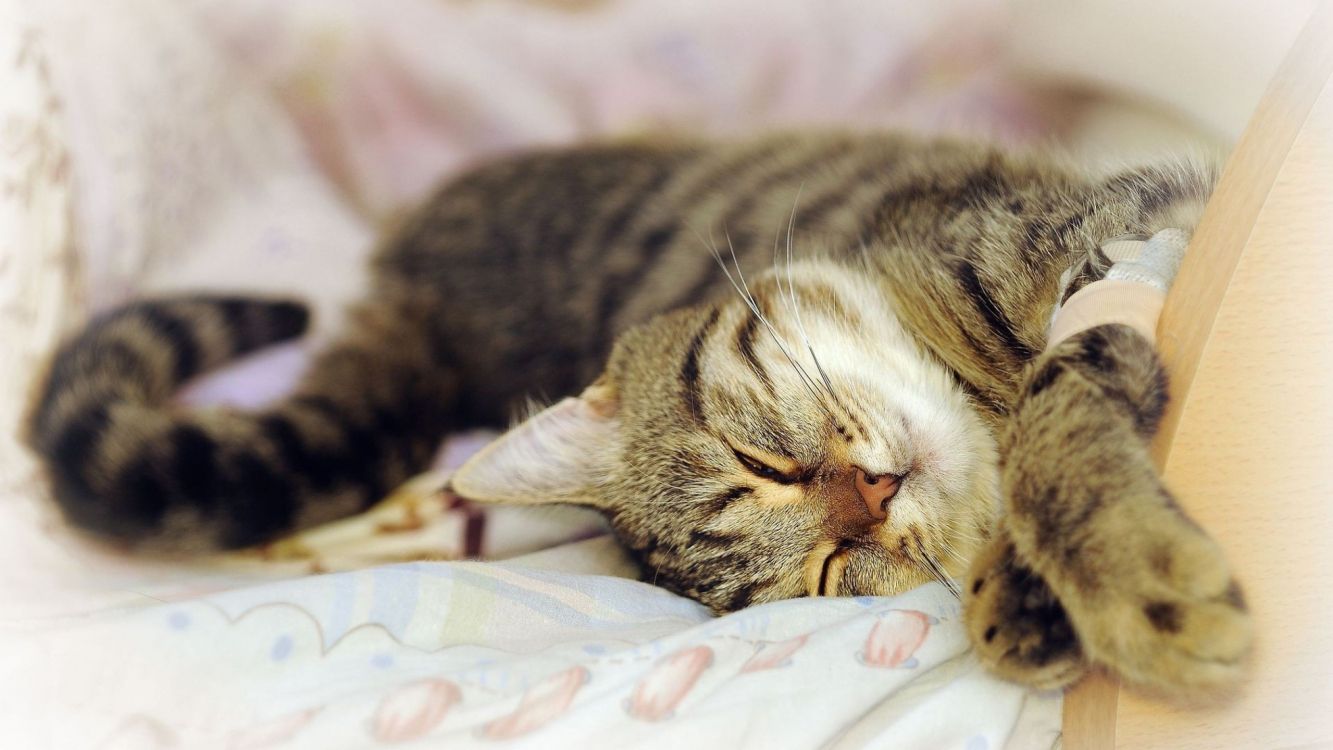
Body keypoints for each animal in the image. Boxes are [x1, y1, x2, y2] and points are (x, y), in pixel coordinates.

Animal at [25, 131, 1253, 703]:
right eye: (824, 575)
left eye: (759, 461)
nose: (872, 494)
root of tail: (425, 311)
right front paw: (1033, 600)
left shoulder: (1118, 232)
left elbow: (1060, 418)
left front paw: (1123, 587)